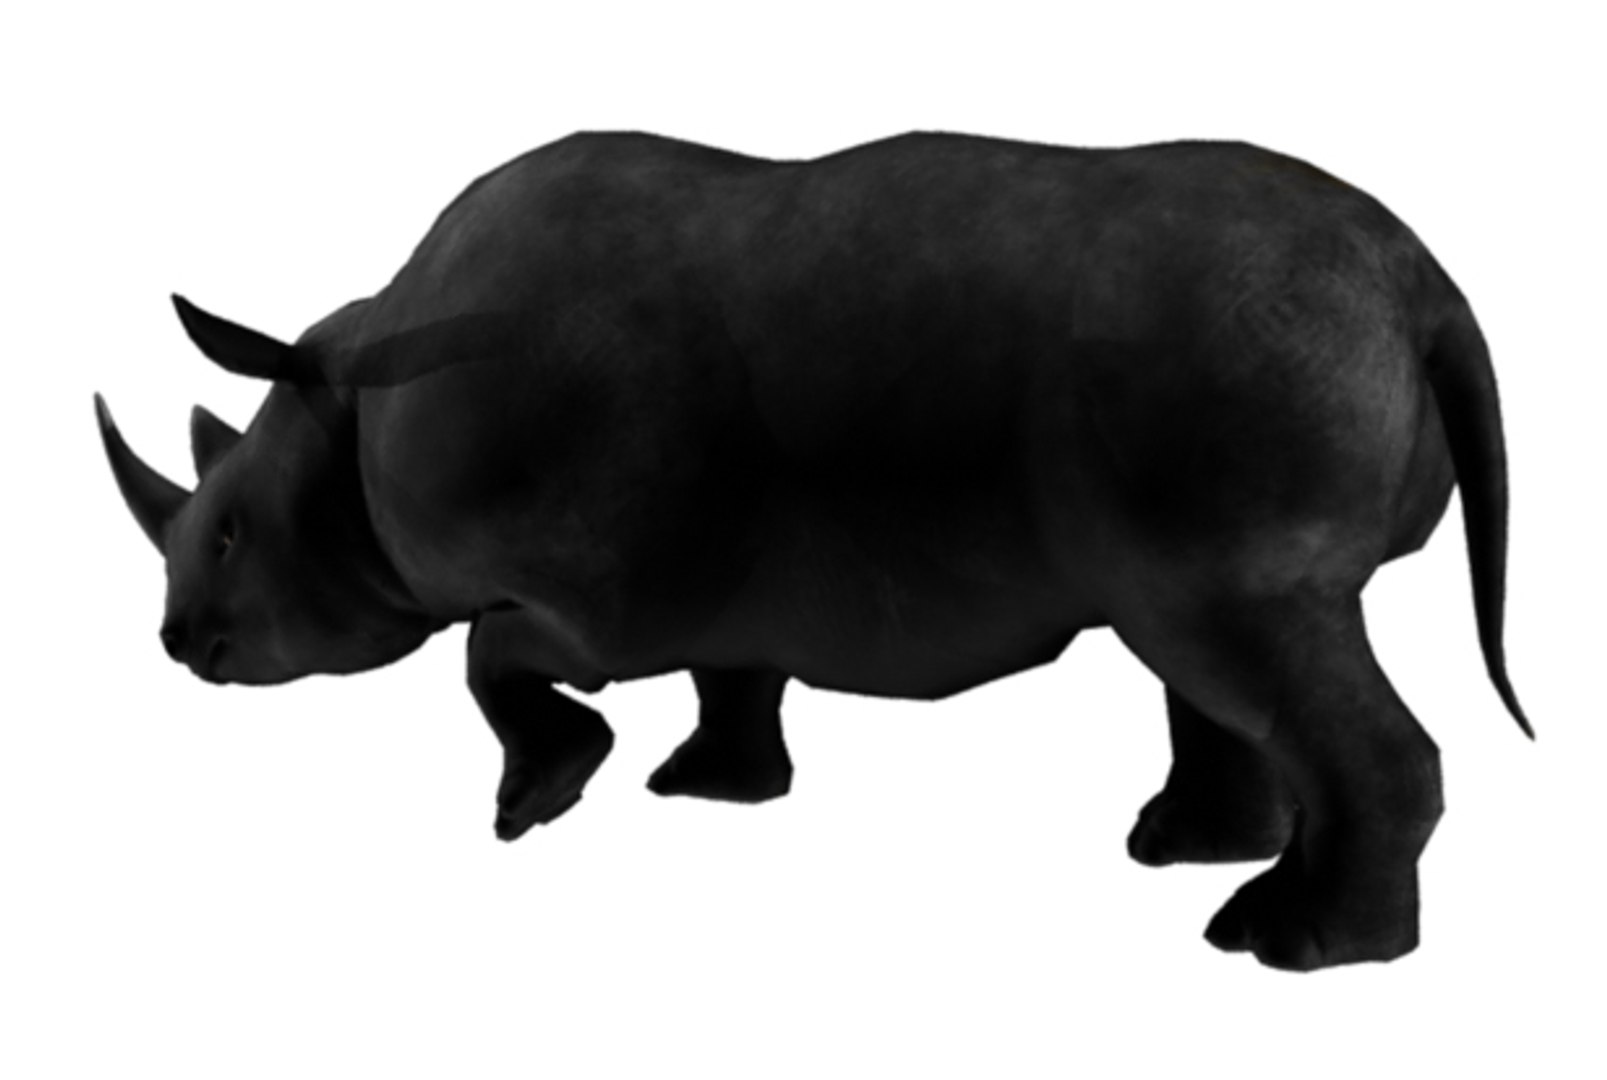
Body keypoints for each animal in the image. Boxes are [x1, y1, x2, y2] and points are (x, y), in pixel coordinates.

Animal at [96, 131, 1529, 971]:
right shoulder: (712, 580)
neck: (353, 390)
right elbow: (732, 675)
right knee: (1202, 649)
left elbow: (492, 659)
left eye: (230, 532)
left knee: (1242, 636)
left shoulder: (586, 591)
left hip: (1237, 360)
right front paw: (709, 792)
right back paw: (1179, 857)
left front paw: (538, 800)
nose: (176, 644)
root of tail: (1416, 281)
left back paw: (1288, 948)